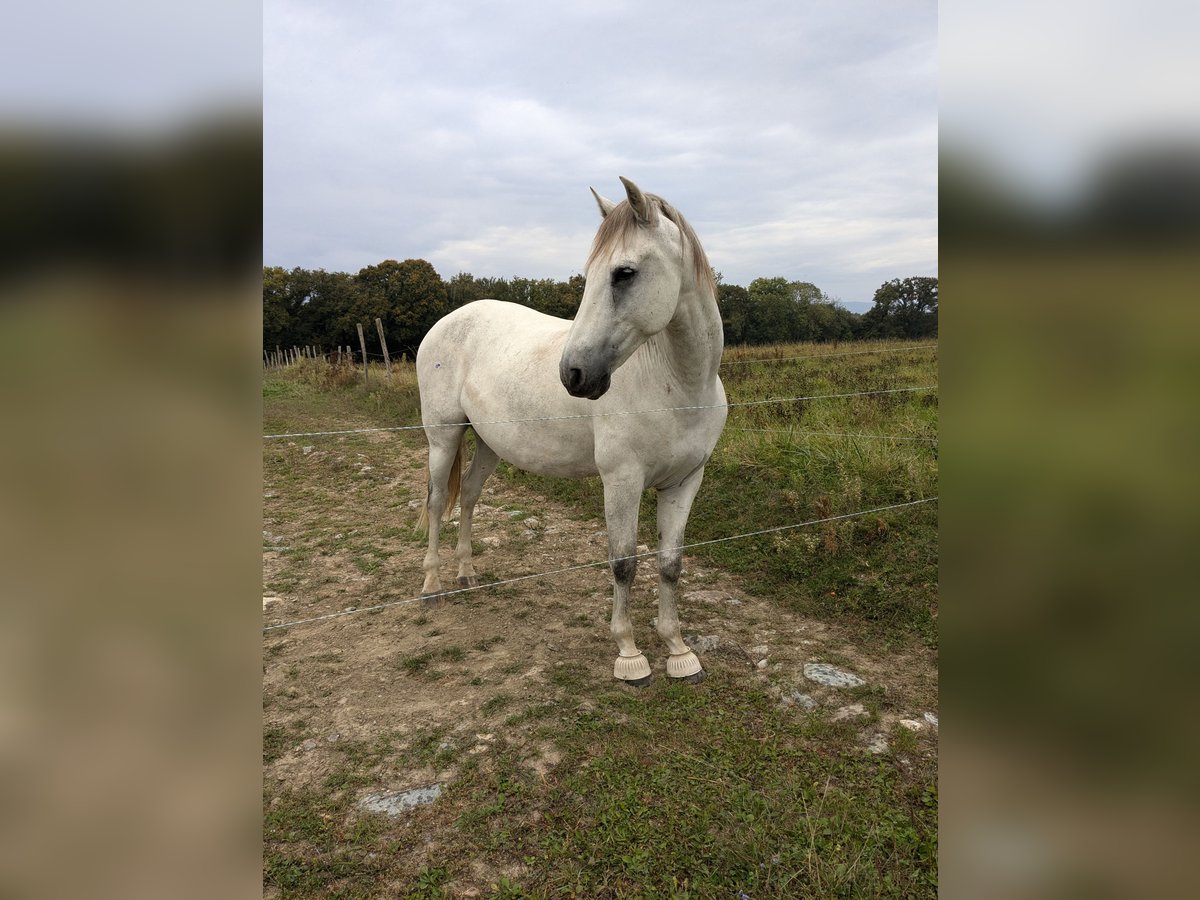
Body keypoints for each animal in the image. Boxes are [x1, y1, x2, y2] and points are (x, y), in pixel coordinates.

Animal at [417, 180, 724, 686]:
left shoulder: (685, 482)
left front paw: (679, 651)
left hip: (488, 444)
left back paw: (465, 576)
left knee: (470, 497)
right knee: (439, 501)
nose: (574, 375)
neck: (677, 384)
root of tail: (447, 321)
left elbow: (670, 564)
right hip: (443, 438)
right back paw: (431, 586)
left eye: (623, 273)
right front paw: (630, 656)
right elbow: (624, 564)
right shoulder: (622, 480)